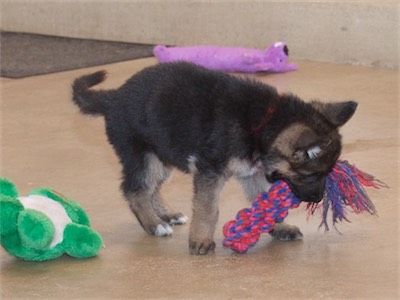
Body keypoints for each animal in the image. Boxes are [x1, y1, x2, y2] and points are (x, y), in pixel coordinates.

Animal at [72, 62, 356, 254]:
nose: (317, 198)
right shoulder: (210, 170)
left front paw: (279, 227)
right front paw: (201, 240)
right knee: (136, 190)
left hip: (161, 155)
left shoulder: (252, 173)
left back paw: (167, 215)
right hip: (144, 157)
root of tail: (113, 98)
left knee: (152, 188)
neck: (263, 123)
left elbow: (262, 201)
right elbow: (208, 209)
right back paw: (154, 224)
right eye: (313, 174)